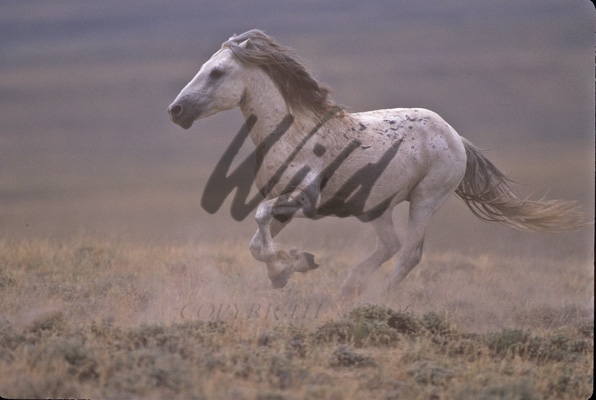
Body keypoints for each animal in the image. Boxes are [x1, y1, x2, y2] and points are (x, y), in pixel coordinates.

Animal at [168, 28, 584, 296]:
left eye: (217, 71)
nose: (176, 110)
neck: (295, 132)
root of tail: (456, 138)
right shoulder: (284, 207)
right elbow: (256, 243)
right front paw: (287, 269)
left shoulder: (303, 199)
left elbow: (259, 225)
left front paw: (293, 263)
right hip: (376, 206)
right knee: (390, 246)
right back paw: (350, 286)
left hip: (425, 200)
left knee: (409, 253)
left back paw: (378, 297)